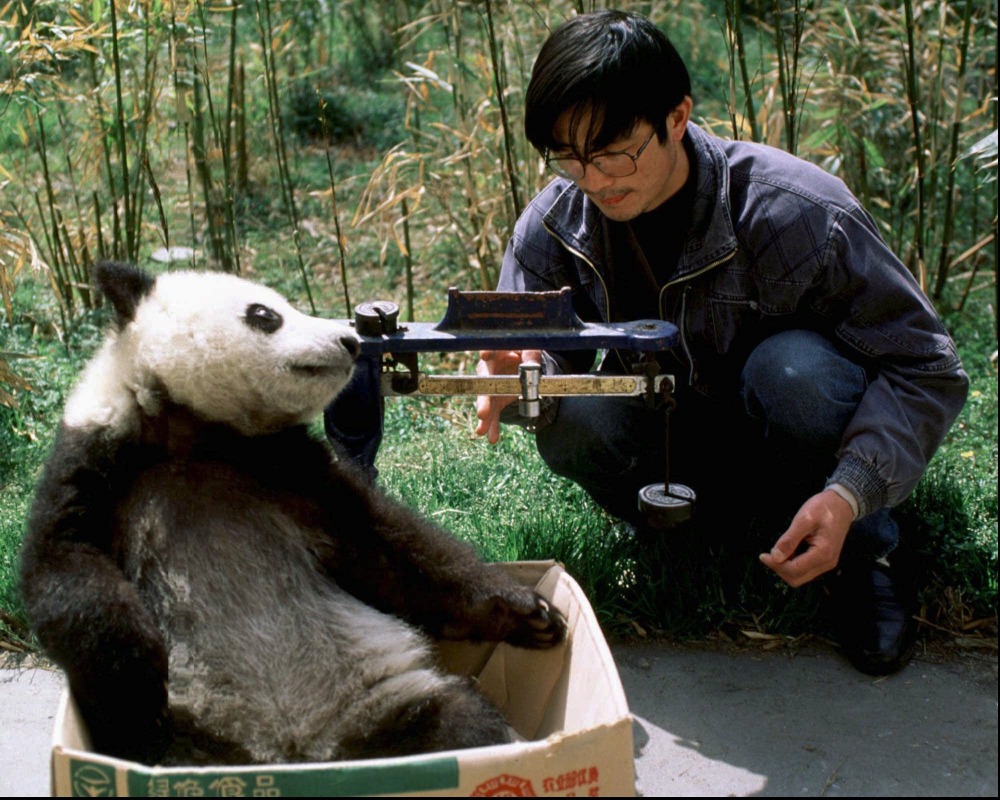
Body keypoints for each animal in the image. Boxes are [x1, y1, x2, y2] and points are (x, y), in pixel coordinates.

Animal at [19, 260, 568, 764]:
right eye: (265, 315)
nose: (349, 341)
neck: (196, 432)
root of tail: (303, 757)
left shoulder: (290, 468)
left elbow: (390, 550)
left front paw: (528, 612)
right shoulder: (97, 462)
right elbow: (65, 569)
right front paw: (139, 678)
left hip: (381, 701)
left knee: (458, 720)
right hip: (201, 725)